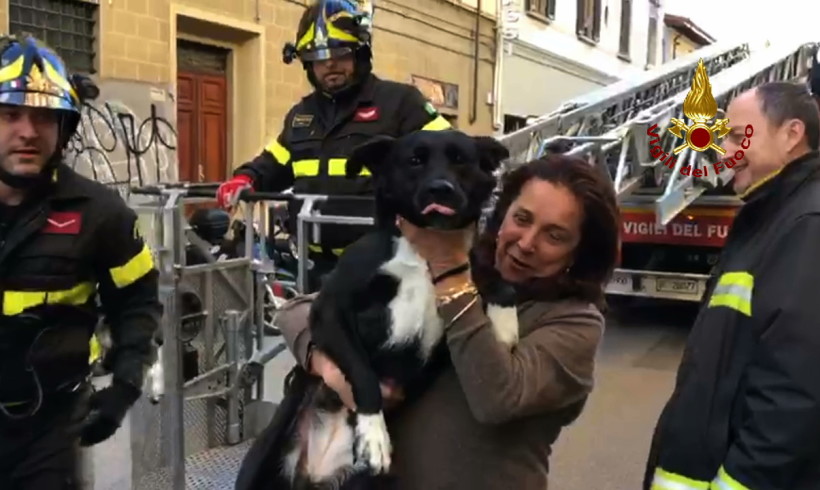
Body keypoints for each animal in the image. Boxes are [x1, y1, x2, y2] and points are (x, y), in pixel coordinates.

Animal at [237, 128, 516, 488]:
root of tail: (310, 474)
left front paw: (505, 321)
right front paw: (374, 436)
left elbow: (490, 270)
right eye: (414, 160)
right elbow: (365, 377)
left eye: (460, 160)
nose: (440, 188)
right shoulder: (328, 312)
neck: (423, 251)